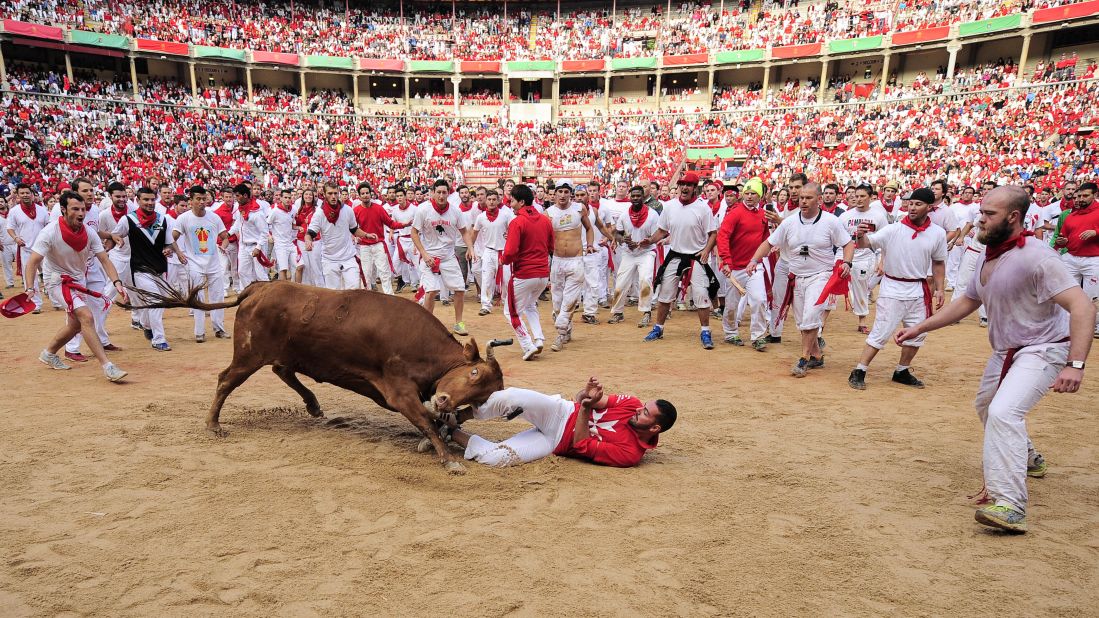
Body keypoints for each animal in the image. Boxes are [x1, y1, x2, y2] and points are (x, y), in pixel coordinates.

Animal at [124, 279, 509, 470]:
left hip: (285, 353)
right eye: (473, 372)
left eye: (483, 398)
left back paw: (312, 405)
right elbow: (427, 420)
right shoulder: (398, 392)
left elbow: (434, 421)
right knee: (225, 379)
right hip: (248, 355)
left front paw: (442, 439)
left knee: (282, 369)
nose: (444, 398)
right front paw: (447, 459)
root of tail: (260, 287)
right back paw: (213, 425)